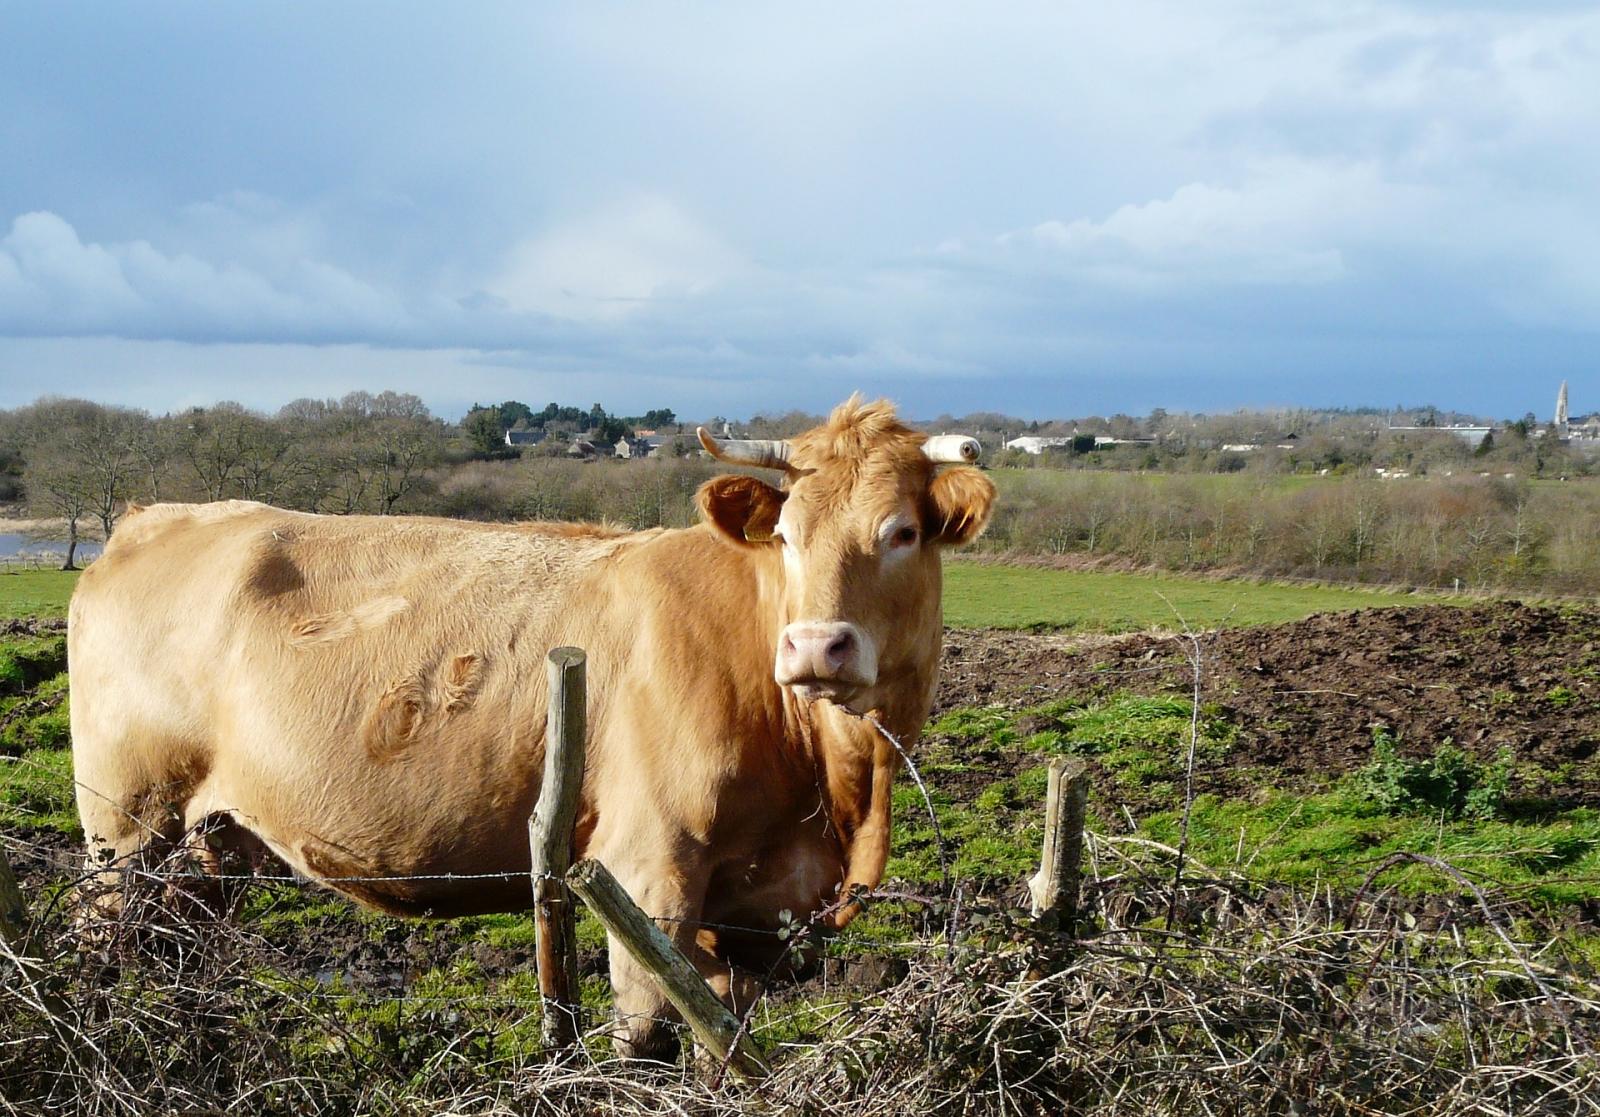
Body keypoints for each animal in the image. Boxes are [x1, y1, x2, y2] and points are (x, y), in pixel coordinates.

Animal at [75, 393, 998, 1049]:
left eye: (903, 531)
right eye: (786, 536)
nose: (813, 646)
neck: (838, 788)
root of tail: (158, 516)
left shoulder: (755, 910)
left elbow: (723, 1033)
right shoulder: (646, 871)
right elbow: (647, 1037)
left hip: (210, 845)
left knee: (181, 959)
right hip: (125, 833)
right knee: (108, 954)